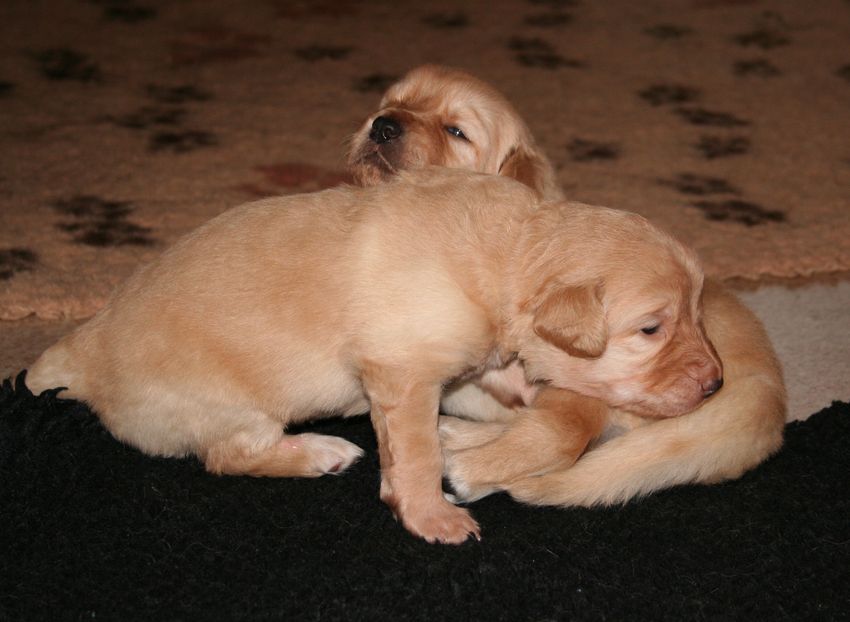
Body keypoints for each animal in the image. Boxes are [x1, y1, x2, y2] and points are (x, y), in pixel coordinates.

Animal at [26, 168, 721, 543]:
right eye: (651, 329)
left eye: (698, 310)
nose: (716, 385)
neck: (509, 253)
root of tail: (85, 346)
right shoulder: (404, 373)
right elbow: (415, 455)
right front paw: (432, 515)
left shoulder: (461, 367)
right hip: (231, 406)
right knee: (229, 457)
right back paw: (320, 452)